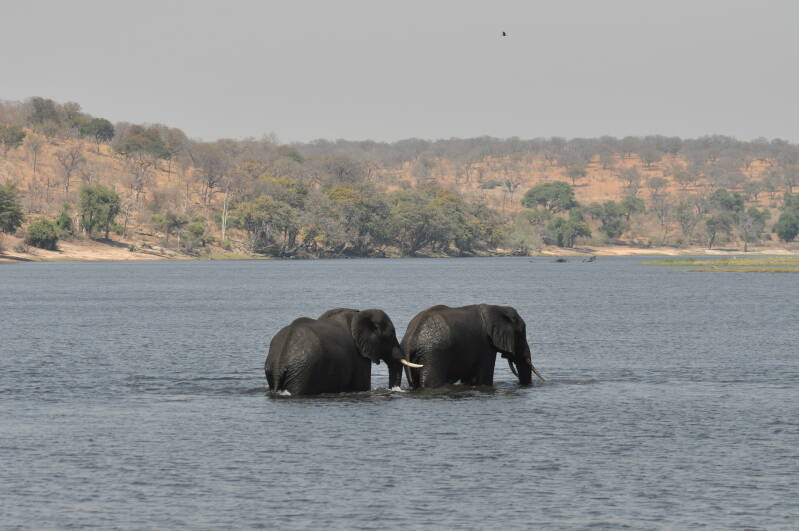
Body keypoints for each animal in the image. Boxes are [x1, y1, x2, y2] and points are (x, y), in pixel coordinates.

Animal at [401, 304, 545, 388]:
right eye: (521, 334)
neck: (497, 308)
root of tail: (410, 338)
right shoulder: (485, 344)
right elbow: (483, 378)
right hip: (433, 352)